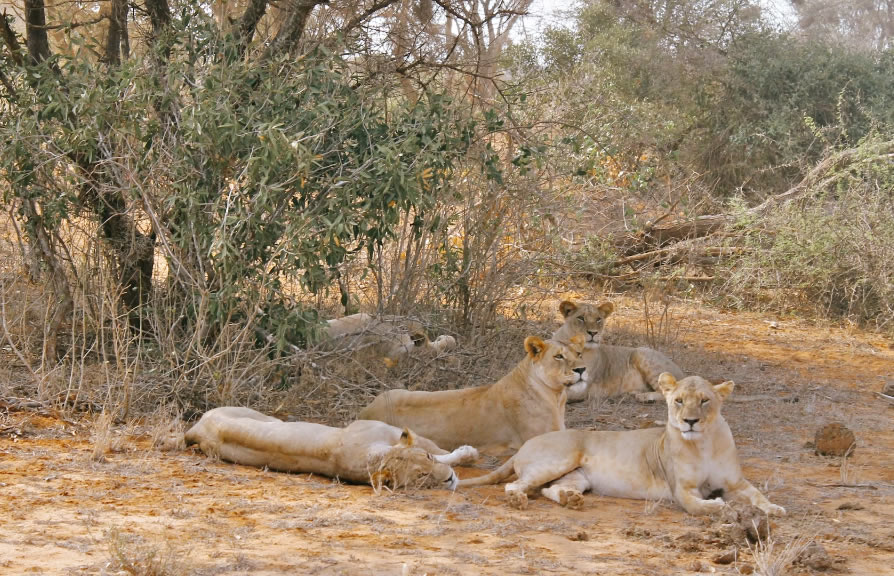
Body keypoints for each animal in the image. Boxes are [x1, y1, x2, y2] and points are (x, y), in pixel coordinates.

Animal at [185, 404, 480, 490]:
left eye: (427, 459)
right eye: (421, 476)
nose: (449, 480)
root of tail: (196, 428)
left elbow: (438, 451)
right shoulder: (389, 430)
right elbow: (446, 454)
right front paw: (467, 454)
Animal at [458, 374, 788, 516]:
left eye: (705, 400)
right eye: (679, 401)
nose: (690, 421)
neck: (703, 443)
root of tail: (527, 444)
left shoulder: (736, 483)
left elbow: (758, 495)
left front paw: (774, 508)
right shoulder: (681, 490)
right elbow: (698, 506)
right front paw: (716, 505)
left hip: (577, 476)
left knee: (549, 490)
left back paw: (570, 500)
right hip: (559, 458)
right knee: (515, 485)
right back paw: (519, 500)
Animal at [552, 300, 688, 402]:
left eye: (598, 319)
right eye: (581, 318)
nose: (593, 333)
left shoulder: (583, 386)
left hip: (641, 352)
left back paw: (644, 397)